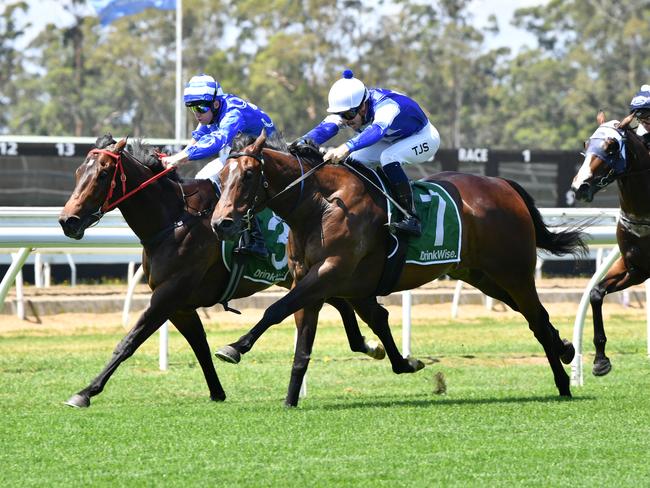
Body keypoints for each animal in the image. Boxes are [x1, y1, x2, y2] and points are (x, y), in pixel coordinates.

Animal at [58, 133, 382, 408]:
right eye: (77, 173)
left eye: (102, 175)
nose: (67, 221)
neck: (174, 220)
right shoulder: (179, 305)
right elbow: (199, 345)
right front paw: (217, 392)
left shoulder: (168, 295)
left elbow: (129, 342)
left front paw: (85, 392)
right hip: (311, 277)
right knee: (343, 304)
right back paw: (369, 345)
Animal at [210, 133, 584, 408]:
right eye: (222, 177)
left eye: (247, 175)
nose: (221, 223)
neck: (321, 205)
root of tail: (505, 185)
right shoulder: (313, 279)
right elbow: (308, 340)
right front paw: (290, 399)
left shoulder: (330, 272)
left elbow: (276, 309)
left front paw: (235, 347)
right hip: (483, 276)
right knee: (536, 316)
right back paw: (565, 349)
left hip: (513, 271)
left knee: (536, 319)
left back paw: (564, 382)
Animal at [568, 112, 648, 376]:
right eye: (586, 144)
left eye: (612, 146)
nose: (579, 186)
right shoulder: (634, 266)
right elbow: (595, 292)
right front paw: (600, 360)